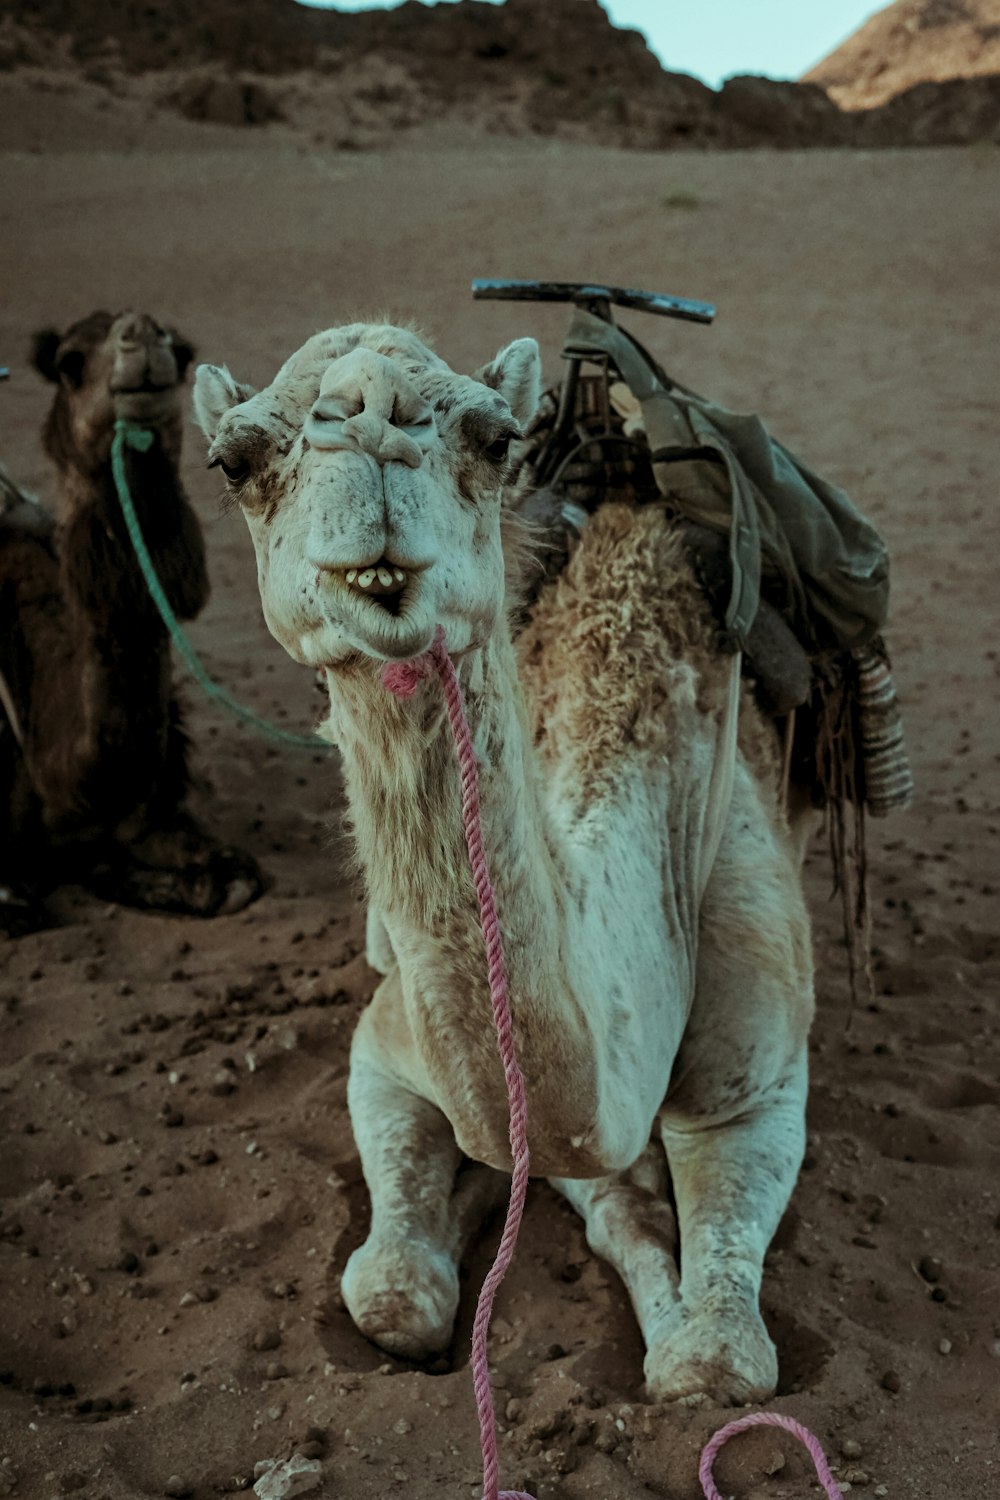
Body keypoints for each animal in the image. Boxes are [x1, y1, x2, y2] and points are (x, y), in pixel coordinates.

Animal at [0, 309, 262, 930]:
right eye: (69, 362)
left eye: (183, 354)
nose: (141, 335)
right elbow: (21, 905)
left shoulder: (147, 815)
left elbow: (232, 881)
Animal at [193, 325, 815, 1404]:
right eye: (232, 460)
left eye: (494, 437)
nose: (372, 419)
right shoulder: (385, 1046)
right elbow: (392, 1293)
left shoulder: (761, 1081)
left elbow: (719, 1359)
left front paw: (677, 1324)